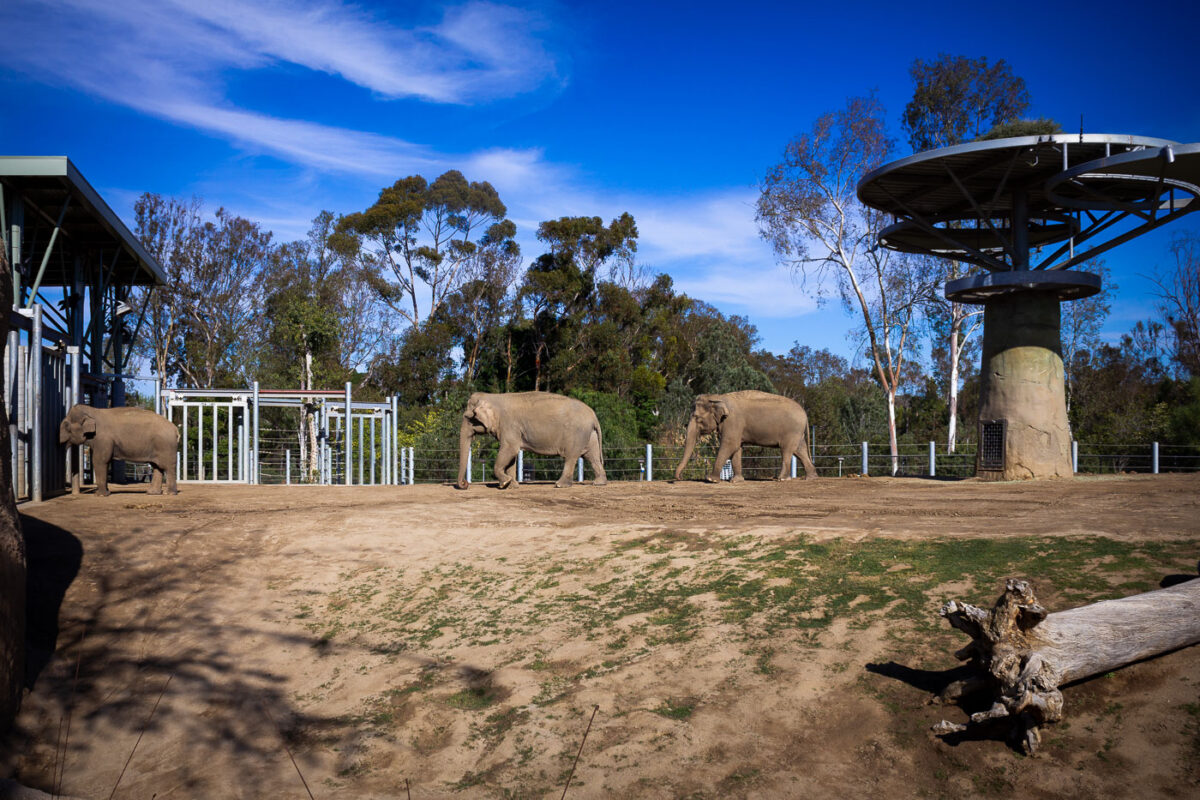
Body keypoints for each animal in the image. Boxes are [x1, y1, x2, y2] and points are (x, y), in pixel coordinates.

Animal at [458, 393, 609, 489]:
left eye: (468, 417)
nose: (465, 484)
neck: (493, 396)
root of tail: (593, 415)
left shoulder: (509, 425)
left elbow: (510, 449)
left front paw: (504, 483)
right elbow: (512, 455)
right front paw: (512, 486)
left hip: (577, 434)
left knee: (571, 457)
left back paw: (559, 485)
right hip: (590, 435)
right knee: (592, 456)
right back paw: (599, 483)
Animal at [672, 388, 820, 482]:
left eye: (697, 418)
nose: (679, 478)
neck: (718, 397)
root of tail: (805, 413)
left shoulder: (732, 422)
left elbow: (730, 444)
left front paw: (711, 479)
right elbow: (737, 448)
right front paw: (737, 480)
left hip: (791, 431)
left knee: (787, 450)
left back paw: (782, 479)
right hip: (797, 433)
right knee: (799, 450)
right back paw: (811, 477)